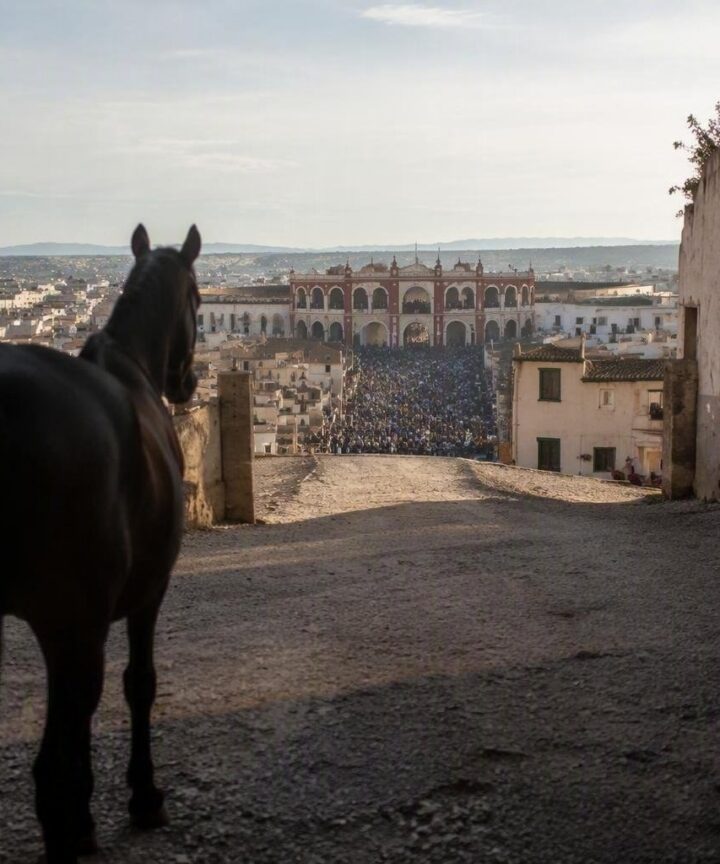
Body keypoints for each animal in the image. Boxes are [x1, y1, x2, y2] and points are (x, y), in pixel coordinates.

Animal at [0, 224, 201, 864]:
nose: (187, 382)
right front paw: (144, 797)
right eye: (199, 300)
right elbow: (138, 684)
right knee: (47, 763)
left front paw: (89, 815)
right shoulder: (144, 592)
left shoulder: (75, 621)